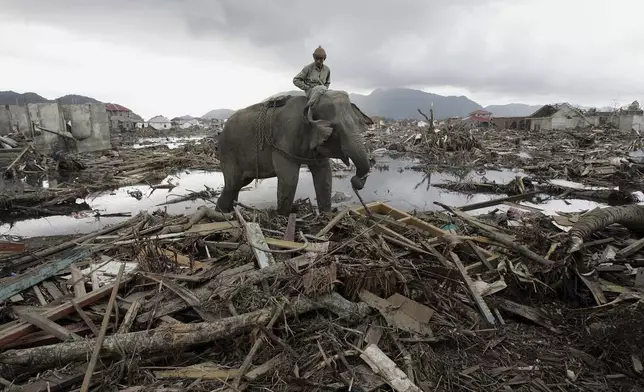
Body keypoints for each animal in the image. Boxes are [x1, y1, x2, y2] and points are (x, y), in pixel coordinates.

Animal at [215, 89, 372, 214]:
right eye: (336, 129)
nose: (356, 181)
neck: (309, 105)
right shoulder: (285, 136)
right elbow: (289, 177)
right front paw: (283, 216)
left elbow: (325, 175)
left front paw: (326, 215)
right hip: (228, 152)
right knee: (232, 184)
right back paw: (222, 214)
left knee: (238, 184)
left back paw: (227, 212)